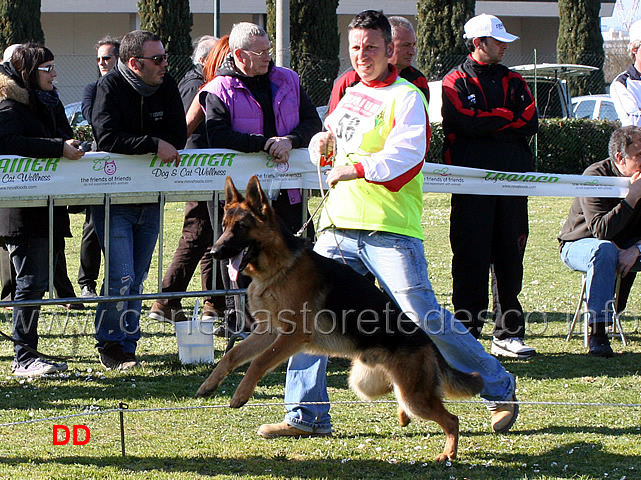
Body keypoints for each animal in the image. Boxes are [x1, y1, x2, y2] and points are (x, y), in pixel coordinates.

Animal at [198, 176, 482, 462]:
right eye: (224, 226)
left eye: (241, 227)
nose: (213, 251)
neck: (279, 269)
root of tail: (428, 343)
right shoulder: (268, 332)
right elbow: (232, 356)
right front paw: (210, 384)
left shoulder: (292, 335)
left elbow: (258, 361)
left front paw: (241, 395)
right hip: (366, 383)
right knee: (399, 396)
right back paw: (405, 417)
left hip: (414, 395)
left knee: (451, 419)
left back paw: (448, 452)